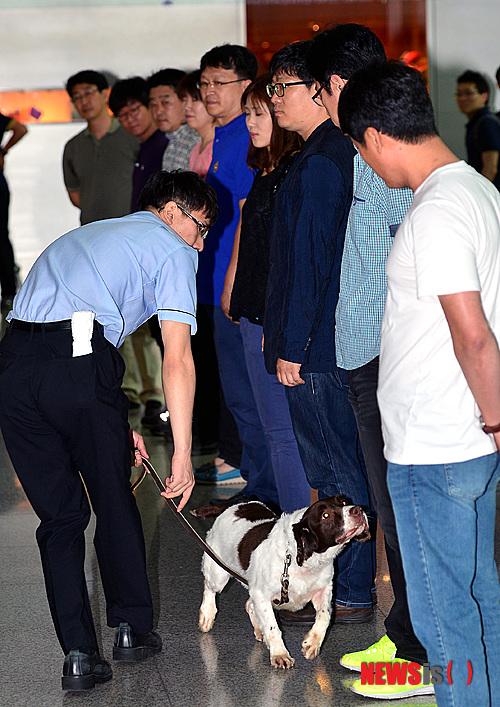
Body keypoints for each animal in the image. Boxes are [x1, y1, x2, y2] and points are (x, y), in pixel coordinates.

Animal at [197, 498, 370, 668]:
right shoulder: (261, 594)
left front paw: (312, 644)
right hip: (218, 573)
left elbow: (324, 616)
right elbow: (273, 627)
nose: (358, 510)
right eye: (325, 515)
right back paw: (207, 615)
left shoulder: (324, 589)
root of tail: (231, 506)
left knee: (249, 604)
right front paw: (280, 654)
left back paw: (258, 629)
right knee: (209, 587)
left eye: (343, 502)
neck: (301, 561)